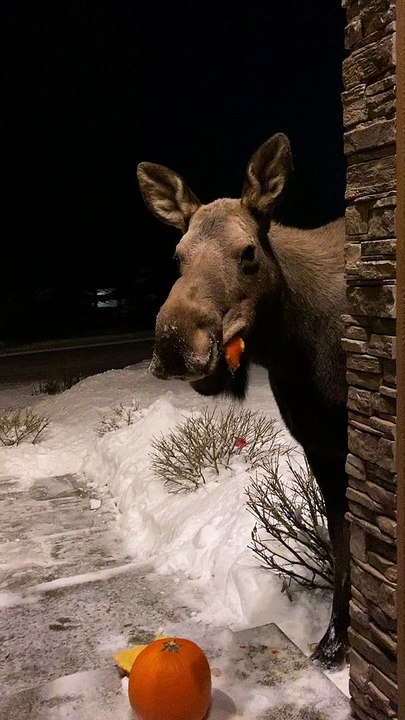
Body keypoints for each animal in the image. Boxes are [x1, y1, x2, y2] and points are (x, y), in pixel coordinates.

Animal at [136, 133, 350, 668]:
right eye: (177, 256)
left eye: (249, 251)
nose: (175, 343)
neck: (293, 350)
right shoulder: (319, 444)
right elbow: (341, 544)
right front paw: (333, 644)